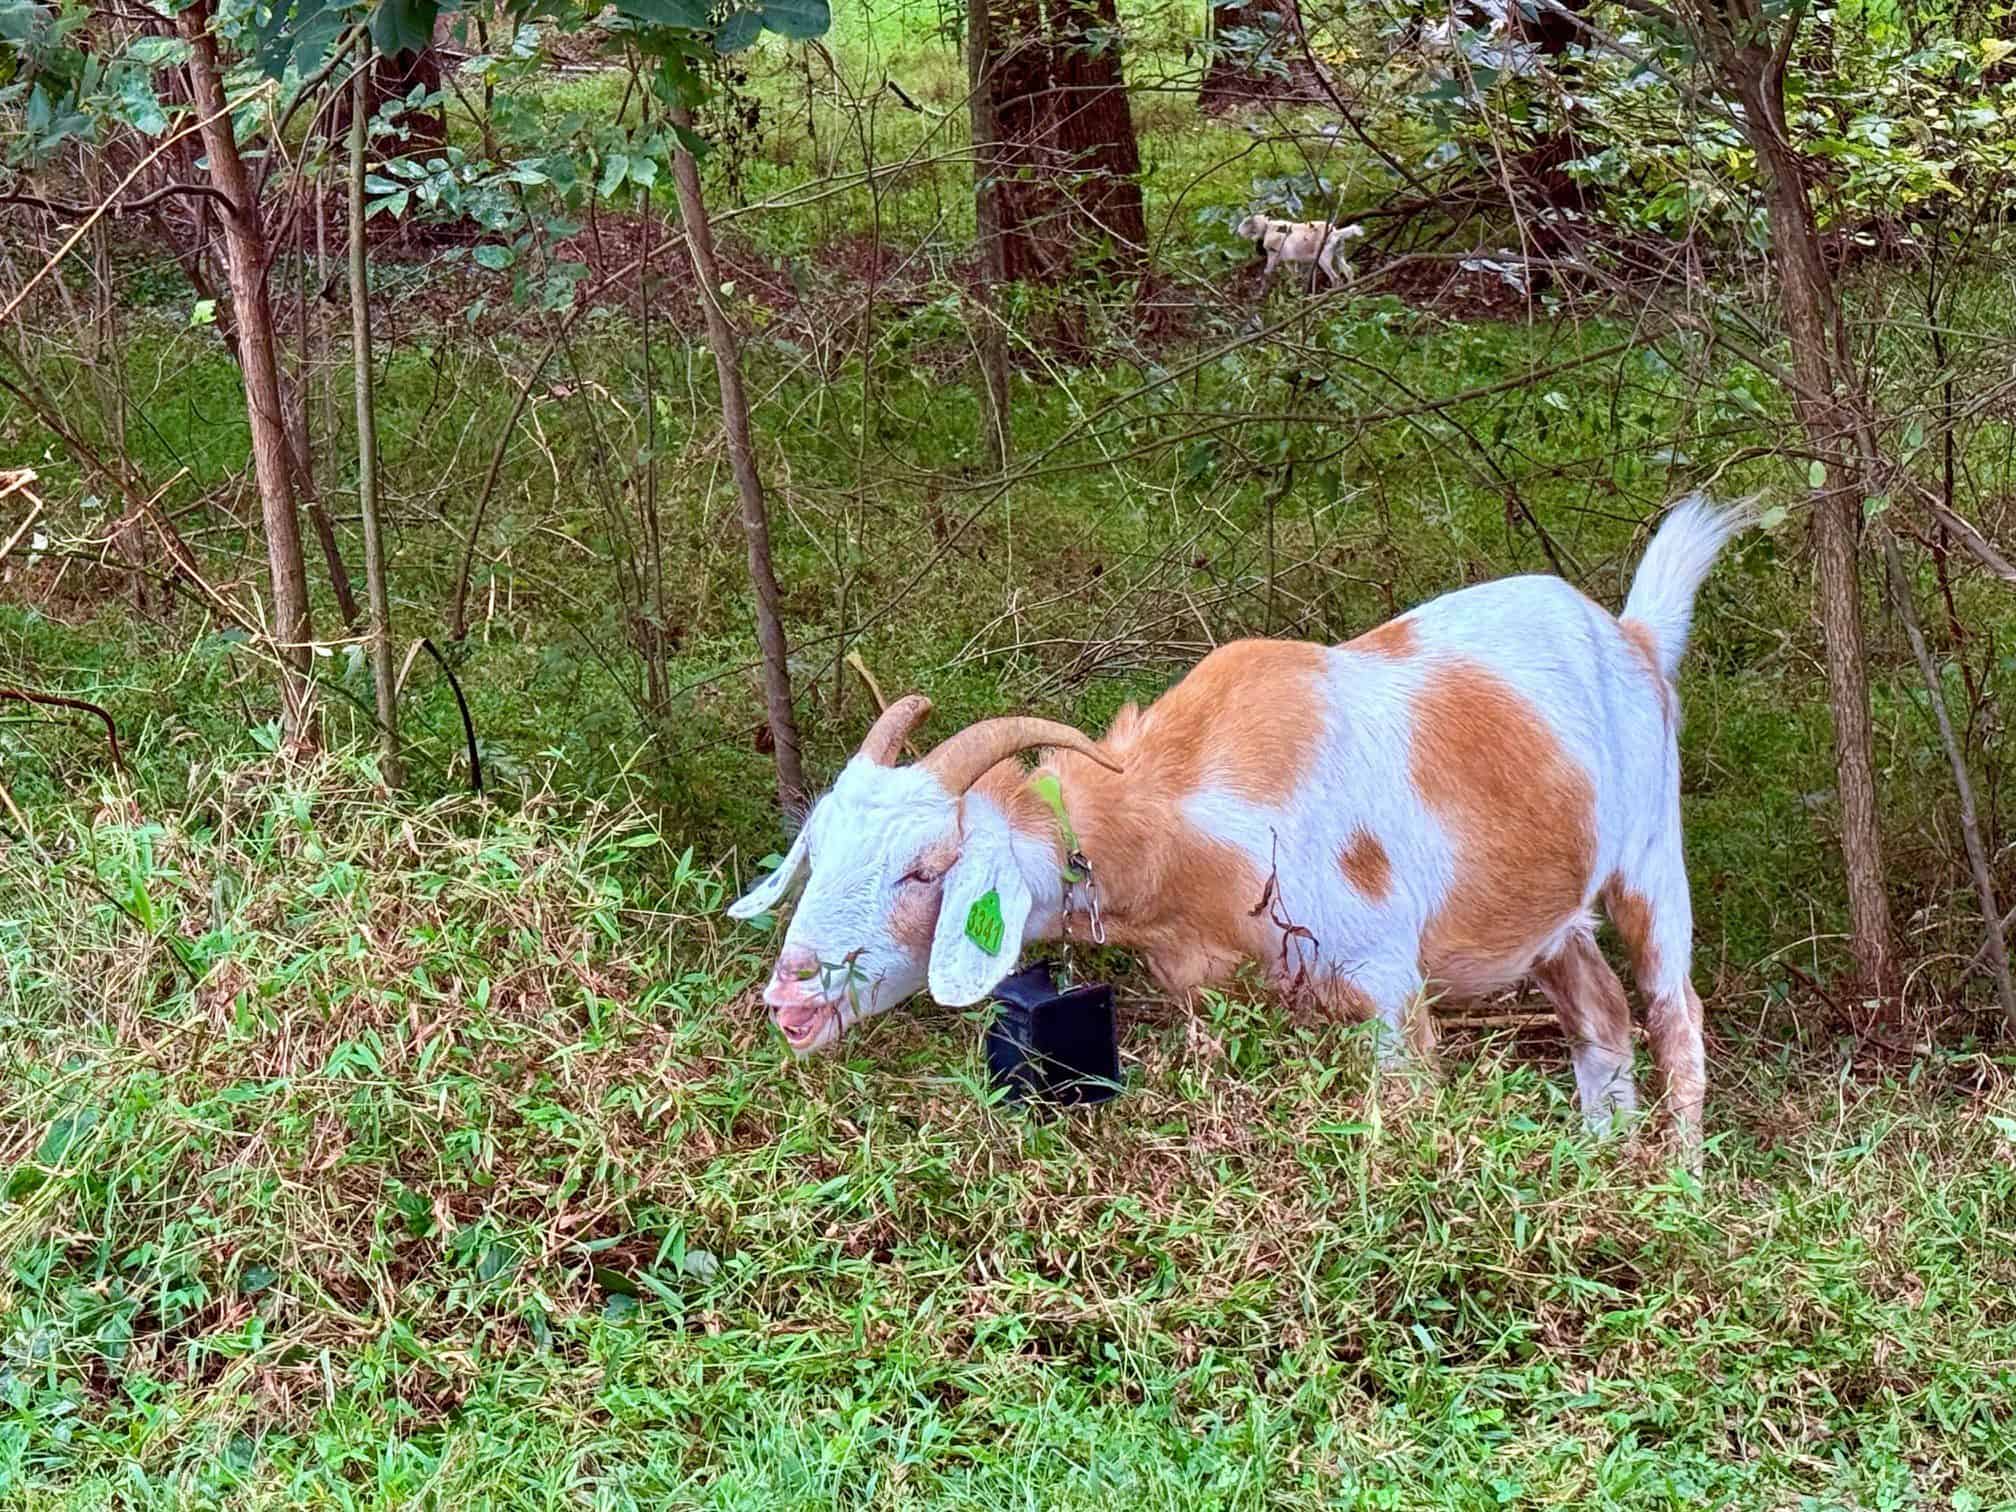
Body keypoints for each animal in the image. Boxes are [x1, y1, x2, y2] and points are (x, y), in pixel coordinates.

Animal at [729, 496, 1750, 1155]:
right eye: (818, 854)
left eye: (925, 869)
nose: (790, 999)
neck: (1186, 816)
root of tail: (1633, 636)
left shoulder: (1386, 984)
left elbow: (1404, 1114)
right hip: (1545, 912)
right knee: (1599, 1012)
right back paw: (1599, 1164)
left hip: (1651, 860)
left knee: (1675, 1013)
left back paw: (1677, 1186)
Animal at [1235, 213, 1365, 288]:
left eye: (1246, 222)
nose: (1238, 231)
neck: (1268, 228)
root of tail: (1335, 232)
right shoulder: (1292, 260)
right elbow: (1295, 274)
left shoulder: (1274, 255)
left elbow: (1267, 271)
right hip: (1338, 253)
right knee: (1348, 270)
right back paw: (1351, 290)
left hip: (1323, 257)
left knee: (1335, 277)